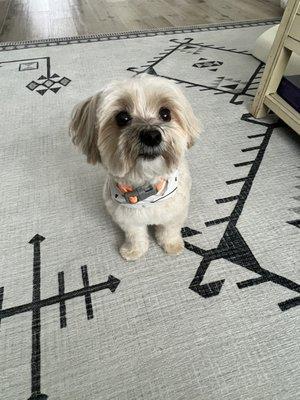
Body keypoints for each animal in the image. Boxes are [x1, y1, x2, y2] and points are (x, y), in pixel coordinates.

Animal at [69, 74, 199, 260]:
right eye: (122, 118)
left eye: (165, 113)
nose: (151, 136)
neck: (146, 189)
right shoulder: (127, 219)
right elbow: (135, 235)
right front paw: (134, 250)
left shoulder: (175, 212)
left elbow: (169, 230)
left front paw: (172, 245)